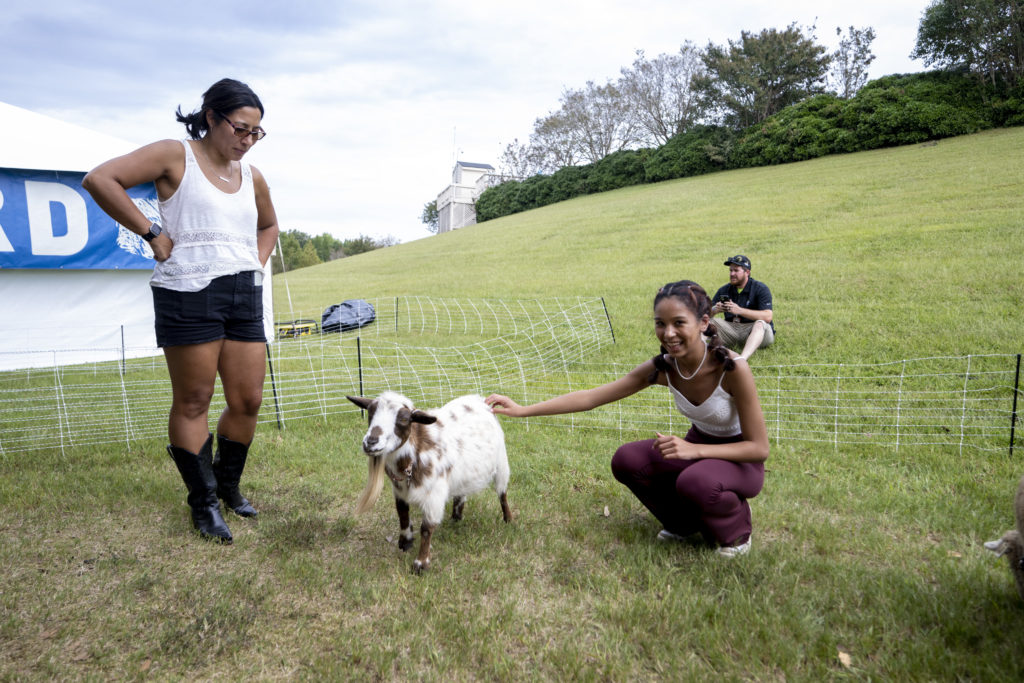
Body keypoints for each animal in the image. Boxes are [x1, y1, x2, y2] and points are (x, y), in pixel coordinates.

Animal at [348, 393, 516, 573]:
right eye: (370, 412)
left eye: (404, 419)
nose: (371, 442)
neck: (414, 454)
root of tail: (478, 398)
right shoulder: (399, 491)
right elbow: (402, 515)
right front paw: (405, 542)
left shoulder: (434, 495)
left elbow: (426, 529)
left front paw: (421, 564)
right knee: (461, 493)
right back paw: (456, 517)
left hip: (501, 463)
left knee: (502, 494)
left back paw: (508, 519)